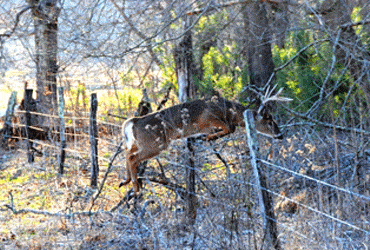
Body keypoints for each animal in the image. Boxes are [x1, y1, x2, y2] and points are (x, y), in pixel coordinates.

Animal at [120, 86, 290, 193]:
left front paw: (205, 137)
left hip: (141, 143)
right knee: (133, 157)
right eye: (269, 121)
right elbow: (230, 129)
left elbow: (228, 130)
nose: (280, 135)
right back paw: (136, 188)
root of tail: (133, 122)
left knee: (127, 153)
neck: (231, 112)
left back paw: (126, 181)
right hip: (156, 143)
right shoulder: (209, 118)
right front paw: (208, 138)